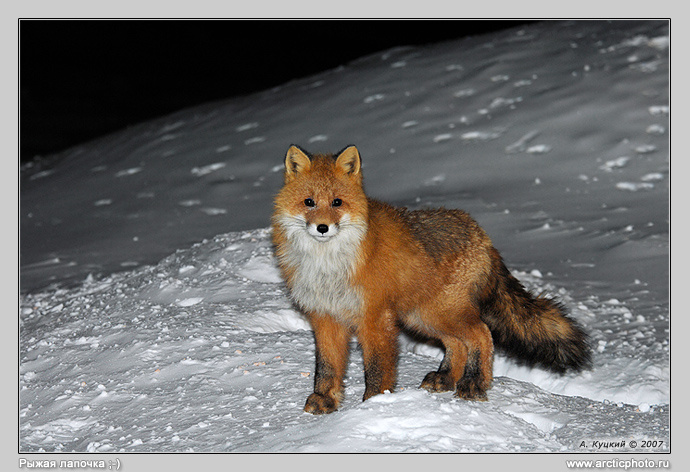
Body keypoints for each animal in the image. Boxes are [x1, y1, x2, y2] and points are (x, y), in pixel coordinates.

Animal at [271, 144, 591, 415]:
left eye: (337, 202)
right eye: (309, 202)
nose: (323, 227)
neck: (327, 265)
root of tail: (481, 233)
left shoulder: (375, 317)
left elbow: (377, 368)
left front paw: (374, 405)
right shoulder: (325, 317)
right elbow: (326, 367)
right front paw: (324, 399)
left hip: (440, 312)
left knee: (482, 334)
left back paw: (474, 384)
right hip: (424, 316)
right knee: (458, 344)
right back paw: (446, 378)